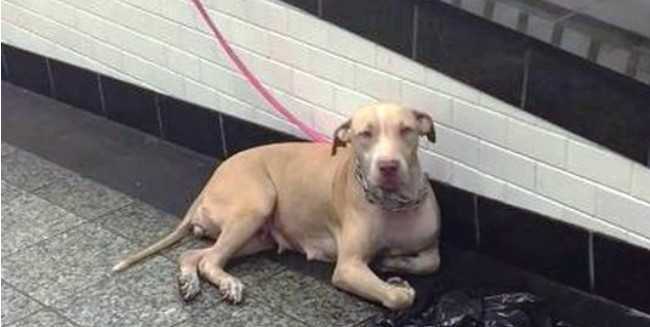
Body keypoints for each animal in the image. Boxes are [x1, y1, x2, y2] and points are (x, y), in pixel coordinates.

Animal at [115, 104, 440, 312]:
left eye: (406, 130)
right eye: (365, 134)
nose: (388, 166)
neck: (393, 204)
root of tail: (212, 180)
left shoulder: (430, 246)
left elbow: (430, 262)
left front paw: (392, 266)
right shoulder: (348, 267)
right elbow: (399, 298)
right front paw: (396, 285)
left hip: (256, 238)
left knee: (196, 254)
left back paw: (190, 281)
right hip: (255, 205)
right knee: (209, 259)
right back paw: (227, 284)